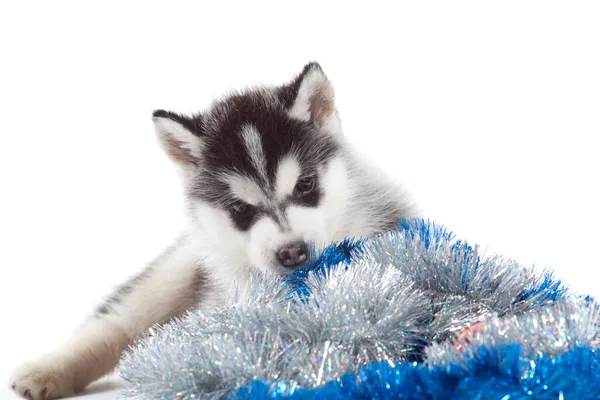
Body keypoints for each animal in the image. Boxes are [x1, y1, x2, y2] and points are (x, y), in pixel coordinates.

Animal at [10, 63, 412, 400]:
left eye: (305, 185)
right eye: (240, 209)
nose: (292, 253)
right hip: (173, 273)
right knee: (118, 324)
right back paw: (46, 371)